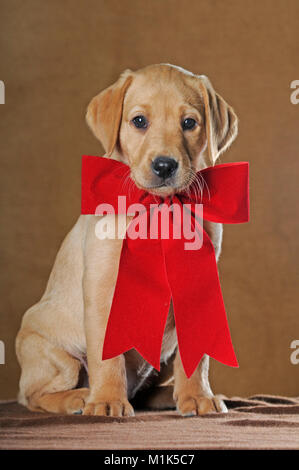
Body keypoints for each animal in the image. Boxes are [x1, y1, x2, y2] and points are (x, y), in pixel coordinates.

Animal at [15, 64, 239, 416]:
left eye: (189, 123)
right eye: (139, 121)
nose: (165, 165)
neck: (158, 208)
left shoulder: (199, 287)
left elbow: (196, 358)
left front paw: (198, 396)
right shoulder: (103, 285)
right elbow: (108, 356)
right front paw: (107, 400)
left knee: (148, 388)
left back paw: (171, 396)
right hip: (52, 354)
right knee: (33, 396)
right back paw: (80, 397)